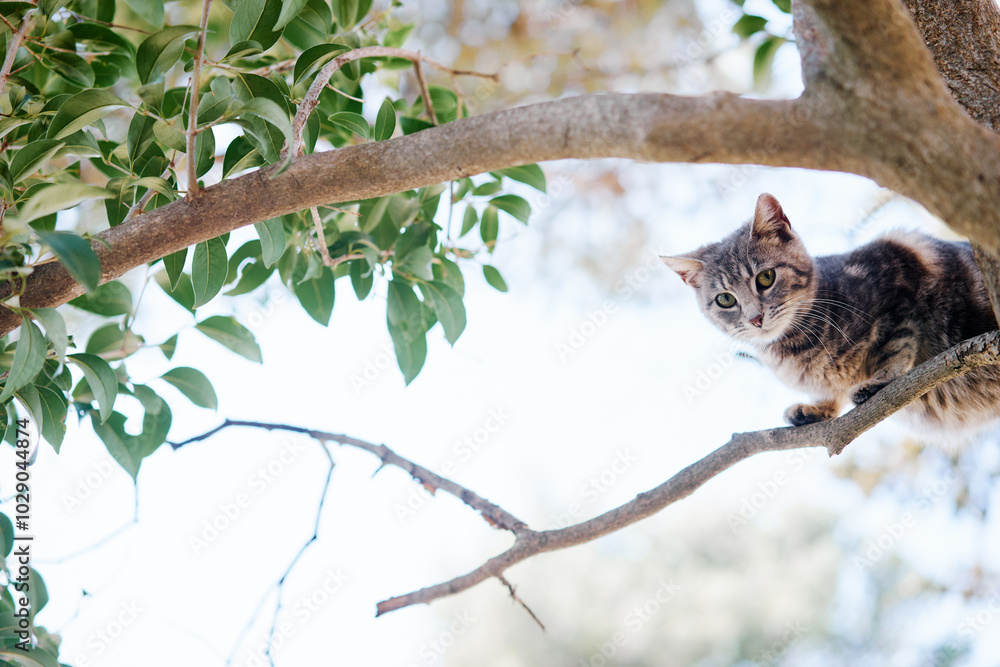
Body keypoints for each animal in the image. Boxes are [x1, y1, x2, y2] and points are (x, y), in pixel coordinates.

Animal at [662, 193, 1000, 432]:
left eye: (765, 278)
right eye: (725, 300)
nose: (755, 318)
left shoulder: (898, 271)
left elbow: (896, 345)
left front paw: (879, 380)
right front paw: (817, 408)